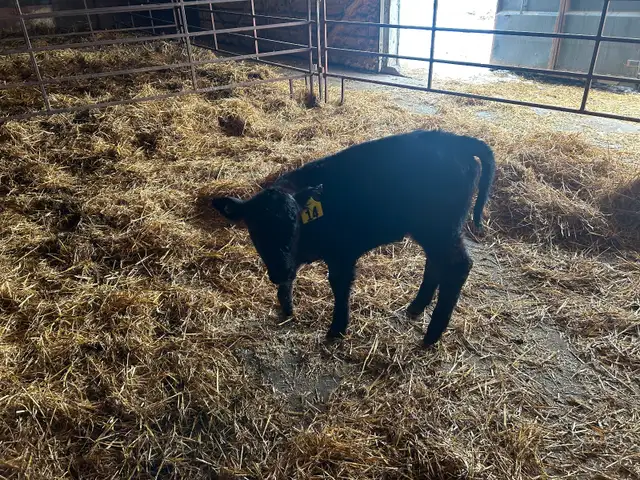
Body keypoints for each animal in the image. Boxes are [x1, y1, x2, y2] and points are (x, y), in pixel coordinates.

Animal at [212, 130, 495, 346]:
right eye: (255, 229)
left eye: (294, 222)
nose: (279, 271)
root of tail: (456, 141)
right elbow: (289, 282)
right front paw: (287, 308)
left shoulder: (342, 254)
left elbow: (339, 287)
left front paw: (337, 329)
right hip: (430, 230)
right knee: (435, 263)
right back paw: (416, 307)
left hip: (442, 228)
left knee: (458, 266)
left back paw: (431, 336)